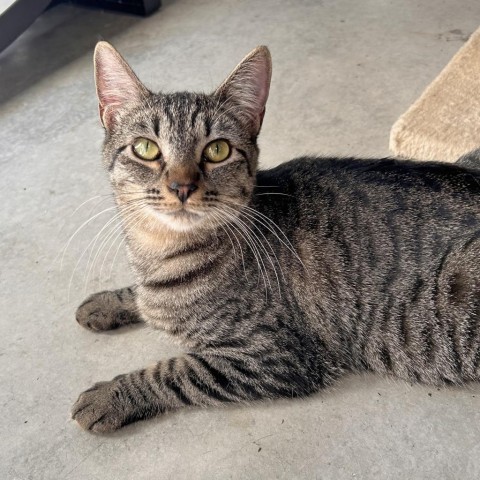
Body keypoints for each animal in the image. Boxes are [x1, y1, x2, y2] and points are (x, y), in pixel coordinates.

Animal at [71, 41, 480, 434]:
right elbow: (139, 298)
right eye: (146, 148)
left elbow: (175, 371)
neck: (158, 251)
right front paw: (107, 302)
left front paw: (111, 396)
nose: (181, 186)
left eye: (217, 150)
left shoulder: (276, 356)